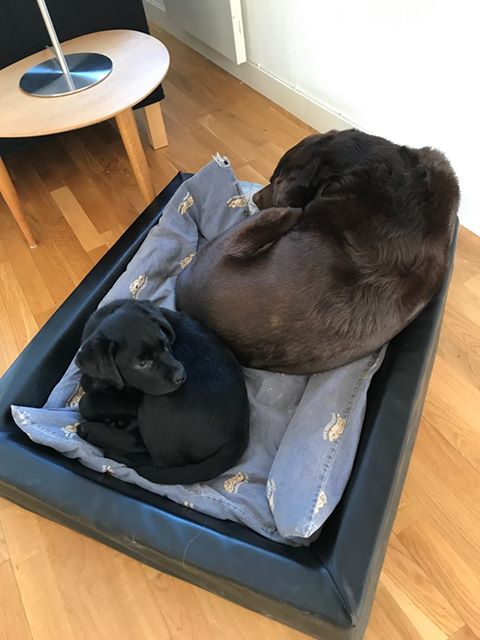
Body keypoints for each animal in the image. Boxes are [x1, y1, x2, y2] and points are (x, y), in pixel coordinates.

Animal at [75, 300, 249, 484]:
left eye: (166, 344)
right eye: (142, 364)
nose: (181, 375)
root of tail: (238, 434)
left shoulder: (135, 398)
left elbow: (86, 402)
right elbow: (87, 382)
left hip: (154, 405)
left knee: (153, 455)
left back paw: (96, 435)